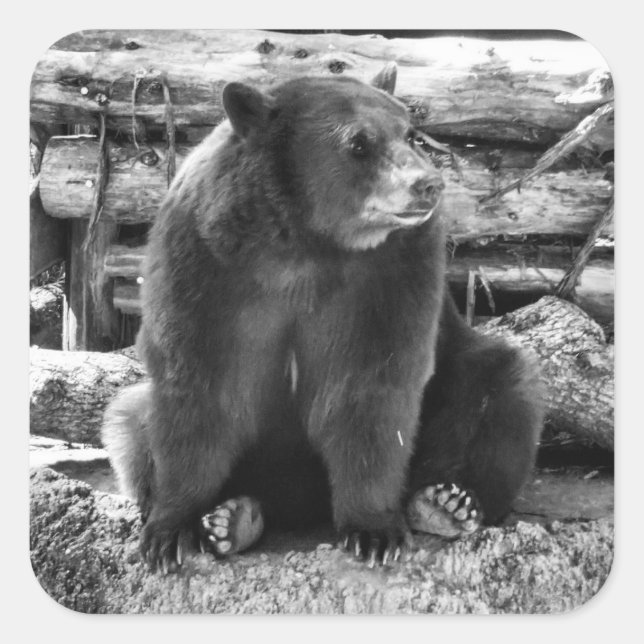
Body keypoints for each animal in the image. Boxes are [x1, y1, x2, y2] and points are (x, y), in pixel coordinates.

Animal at [102, 64, 544, 573]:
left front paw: (374, 532)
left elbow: (371, 386)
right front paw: (169, 533)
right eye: (358, 143)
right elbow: (197, 385)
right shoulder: (206, 265)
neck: (302, 242)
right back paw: (234, 518)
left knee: (501, 382)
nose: (428, 184)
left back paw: (447, 503)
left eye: (409, 132)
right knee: (127, 416)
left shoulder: (388, 275)